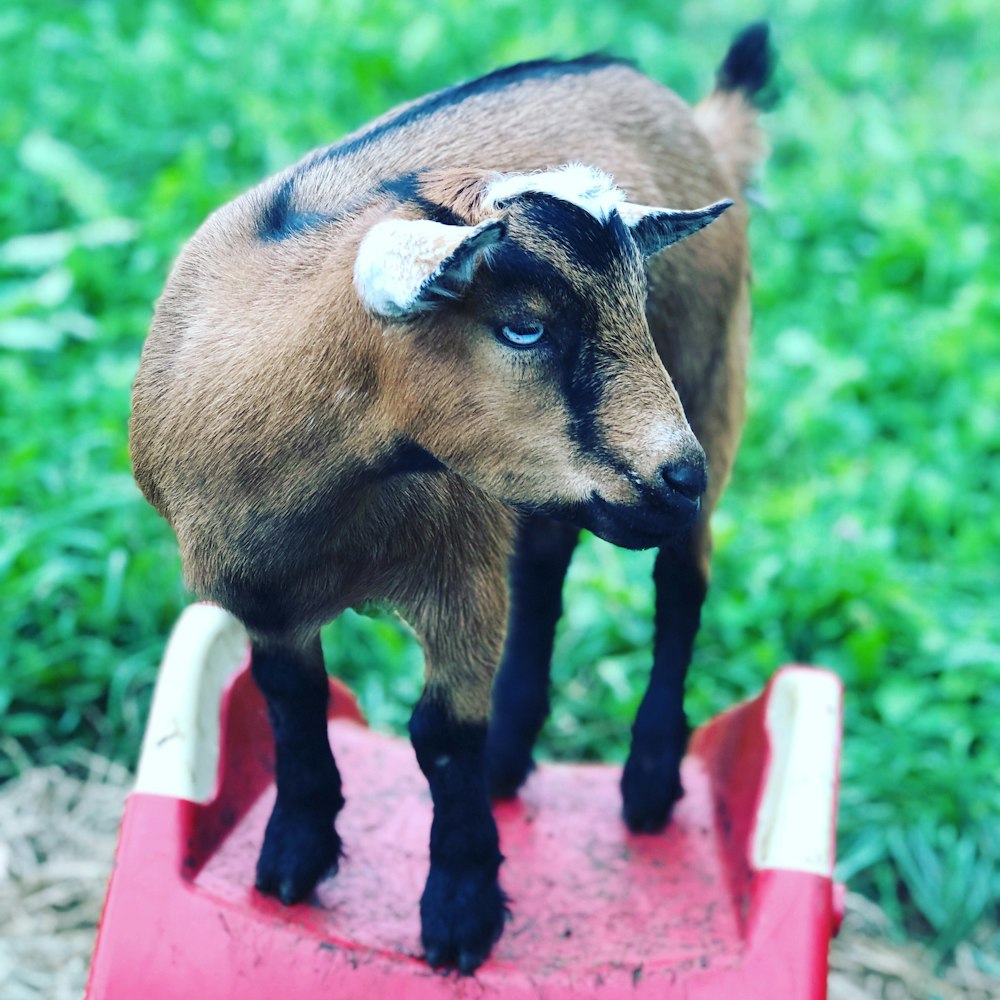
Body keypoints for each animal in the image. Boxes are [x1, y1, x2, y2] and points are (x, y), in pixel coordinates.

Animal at [131, 23, 772, 976]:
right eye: (524, 326)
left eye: (638, 304)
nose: (678, 477)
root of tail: (690, 116)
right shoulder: (257, 588)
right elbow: (290, 699)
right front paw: (292, 857)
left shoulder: (459, 571)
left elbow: (439, 736)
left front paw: (460, 910)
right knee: (544, 569)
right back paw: (513, 750)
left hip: (715, 377)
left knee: (680, 584)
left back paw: (649, 779)